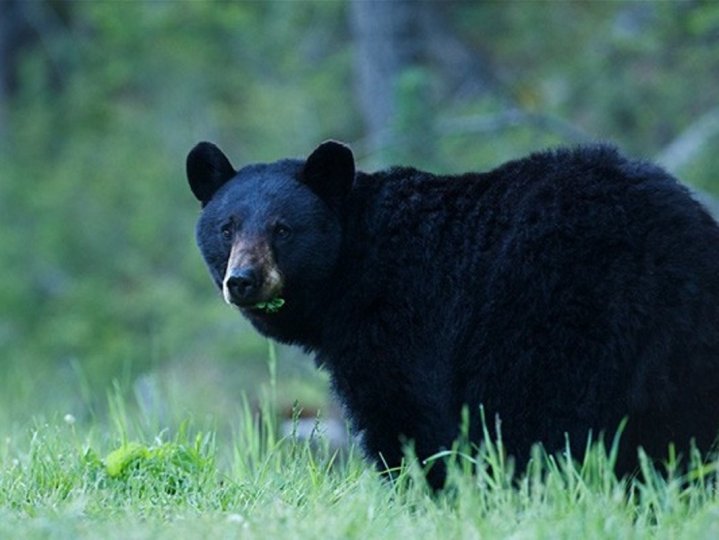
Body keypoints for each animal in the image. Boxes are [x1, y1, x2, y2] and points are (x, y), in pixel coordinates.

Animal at [187, 140, 719, 490]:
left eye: (283, 229)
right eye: (226, 227)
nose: (243, 280)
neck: (354, 267)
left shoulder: (399, 325)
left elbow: (404, 418)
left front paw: (422, 490)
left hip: (554, 321)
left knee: (543, 419)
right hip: (686, 353)